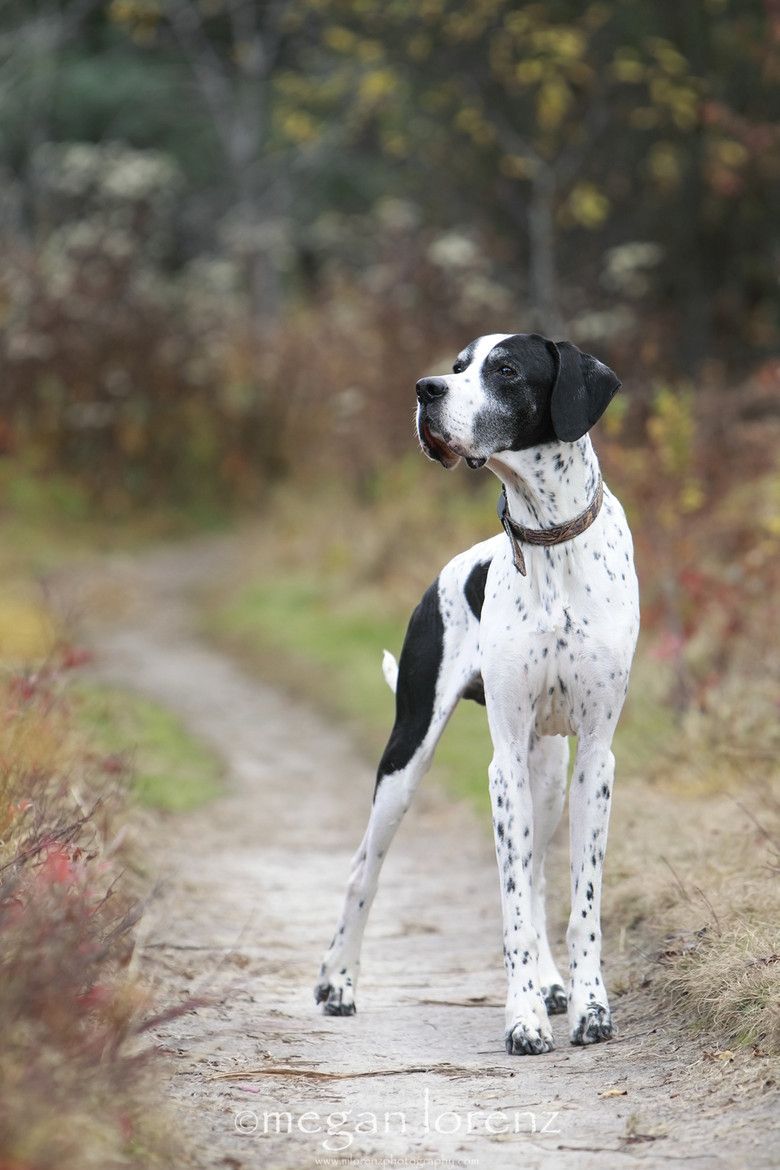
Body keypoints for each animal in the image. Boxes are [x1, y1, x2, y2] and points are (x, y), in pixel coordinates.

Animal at [318, 334, 640, 1057]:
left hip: (547, 772)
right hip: (408, 759)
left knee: (542, 872)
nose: (425, 390)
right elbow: (514, 905)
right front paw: (523, 1020)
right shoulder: (502, 767)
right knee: (362, 870)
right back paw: (339, 982)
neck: (547, 540)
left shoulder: (597, 759)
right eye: (458, 365)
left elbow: (579, 903)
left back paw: (551, 984)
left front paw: (589, 1008)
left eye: (507, 370)